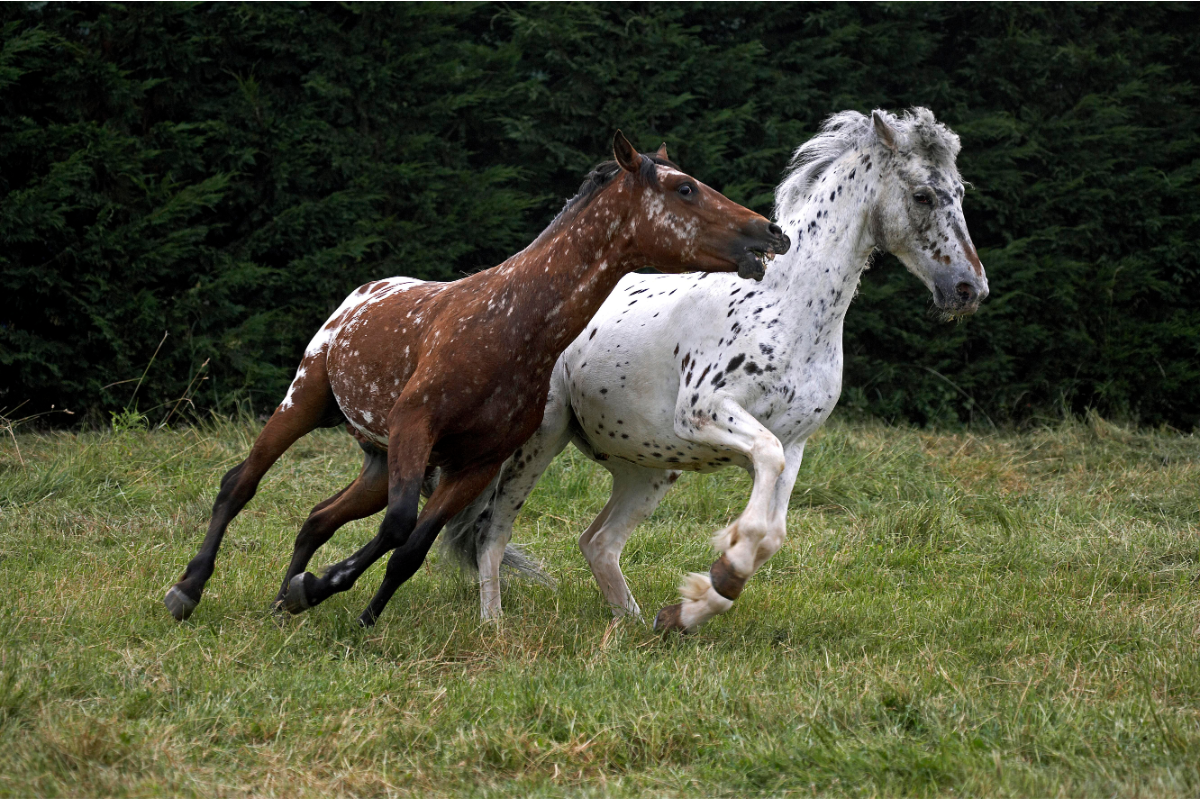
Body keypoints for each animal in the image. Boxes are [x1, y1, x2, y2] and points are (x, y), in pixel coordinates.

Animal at [163, 131, 791, 626]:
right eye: (685, 188)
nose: (770, 232)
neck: (507, 326)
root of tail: (361, 296)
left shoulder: (475, 463)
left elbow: (412, 546)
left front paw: (341, 606)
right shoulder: (417, 427)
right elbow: (400, 525)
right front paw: (320, 589)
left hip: (377, 460)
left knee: (318, 517)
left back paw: (279, 603)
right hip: (304, 402)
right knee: (239, 484)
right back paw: (187, 592)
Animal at [434, 108, 990, 632]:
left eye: (960, 192)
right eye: (922, 196)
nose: (969, 289)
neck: (786, 307)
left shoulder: (795, 444)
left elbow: (774, 531)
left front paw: (690, 609)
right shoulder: (708, 414)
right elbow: (762, 497)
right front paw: (722, 571)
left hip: (648, 466)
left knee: (599, 542)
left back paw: (636, 625)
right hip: (540, 440)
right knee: (494, 532)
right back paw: (494, 624)